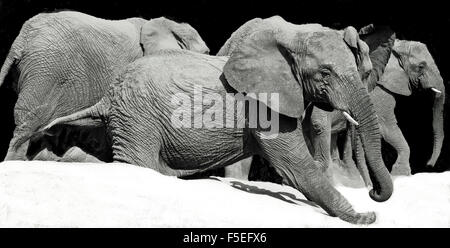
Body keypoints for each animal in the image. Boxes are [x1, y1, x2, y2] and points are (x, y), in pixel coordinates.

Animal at [41, 16, 394, 225]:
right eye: (325, 73)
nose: (373, 193)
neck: (290, 41)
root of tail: (108, 95)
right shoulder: (264, 106)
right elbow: (296, 166)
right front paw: (365, 217)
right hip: (137, 117)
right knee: (137, 163)